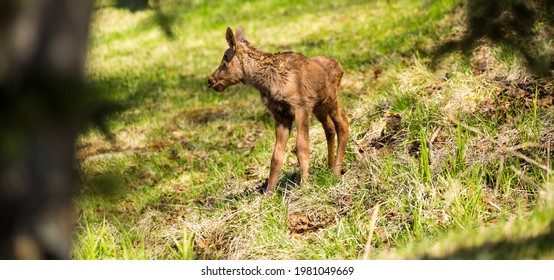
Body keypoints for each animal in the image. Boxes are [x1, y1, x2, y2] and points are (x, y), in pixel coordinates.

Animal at [209, 25, 348, 194]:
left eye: (225, 60)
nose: (210, 81)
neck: (265, 83)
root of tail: (340, 66)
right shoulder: (280, 115)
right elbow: (276, 156)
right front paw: (269, 194)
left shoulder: (301, 107)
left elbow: (302, 147)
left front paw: (304, 186)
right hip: (319, 107)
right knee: (329, 127)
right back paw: (330, 166)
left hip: (331, 99)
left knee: (343, 124)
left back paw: (336, 171)